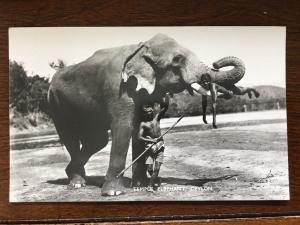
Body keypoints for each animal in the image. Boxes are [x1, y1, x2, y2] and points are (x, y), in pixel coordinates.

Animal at [47, 33, 244, 195]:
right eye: (177, 59)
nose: (216, 64)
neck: (140, 48)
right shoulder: (119, 89)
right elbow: (124, 128)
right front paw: (113, 193)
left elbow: (137, 128)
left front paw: (139, 186)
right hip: (55, 103)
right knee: (71, 137)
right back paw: (76, 183)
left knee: (97, 140)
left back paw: (75, 176)